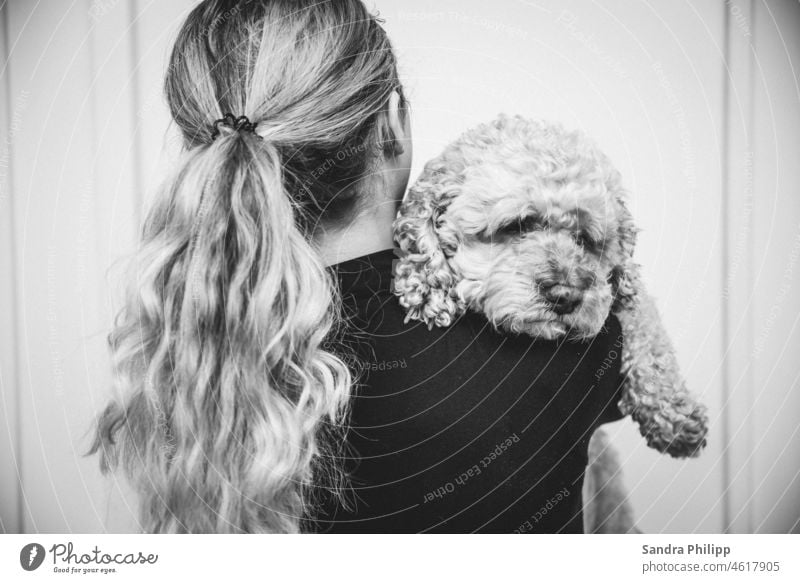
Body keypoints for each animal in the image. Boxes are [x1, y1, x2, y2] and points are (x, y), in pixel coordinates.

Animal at [392, 115, 708, 460]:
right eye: (516, 225)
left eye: (584, 239)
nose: (565, 296)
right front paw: (427, 287)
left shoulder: (626, 295)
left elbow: (649, 332)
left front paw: (673, 411)